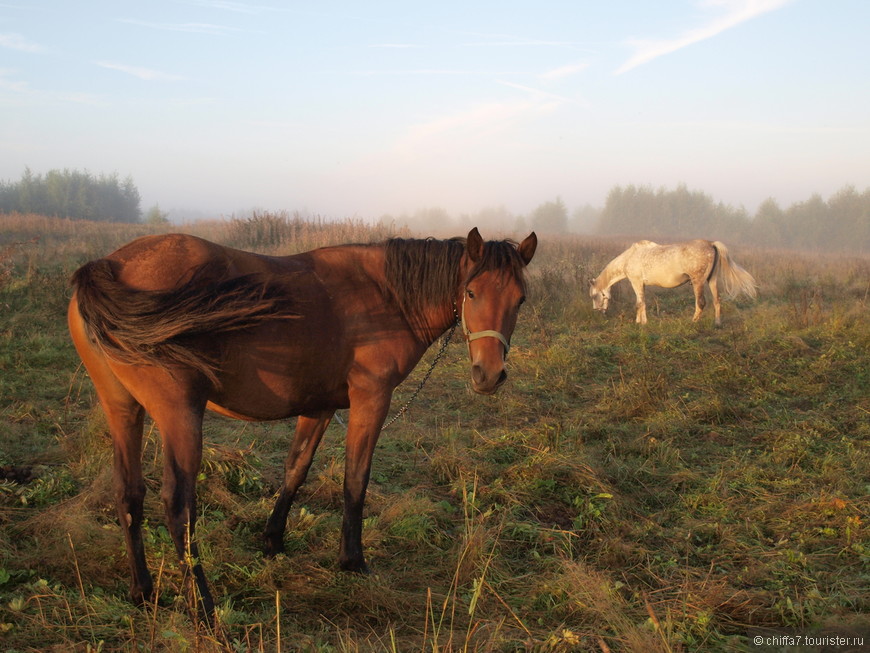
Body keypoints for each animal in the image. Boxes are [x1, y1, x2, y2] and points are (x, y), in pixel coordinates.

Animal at [68, 227, 536, 612]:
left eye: (520, 299)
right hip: (179, 414)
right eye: (471, 293)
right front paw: (352, 561)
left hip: (123, 409)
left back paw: (142, 591)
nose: (489, 375)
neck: (383, 294)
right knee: (178, 506)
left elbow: (296, 469)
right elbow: (355, 480)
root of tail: (110, 264)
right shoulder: (371, 400)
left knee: (129, 494)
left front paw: (273, 540)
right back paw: (203, 606)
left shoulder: (318, 407)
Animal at [592, 238, 756, 324]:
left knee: (701, 303)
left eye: (594, 296)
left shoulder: (636, 282)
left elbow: (639, 303)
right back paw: (717, 323)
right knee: (717, 301)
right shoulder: (641, 285)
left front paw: (640, 323)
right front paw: (641, 321)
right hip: (712, 280)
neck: (630, 257)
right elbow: (642, 303)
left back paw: (693, 322)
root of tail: (711, 244)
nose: (599, 312)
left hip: (698, 282)